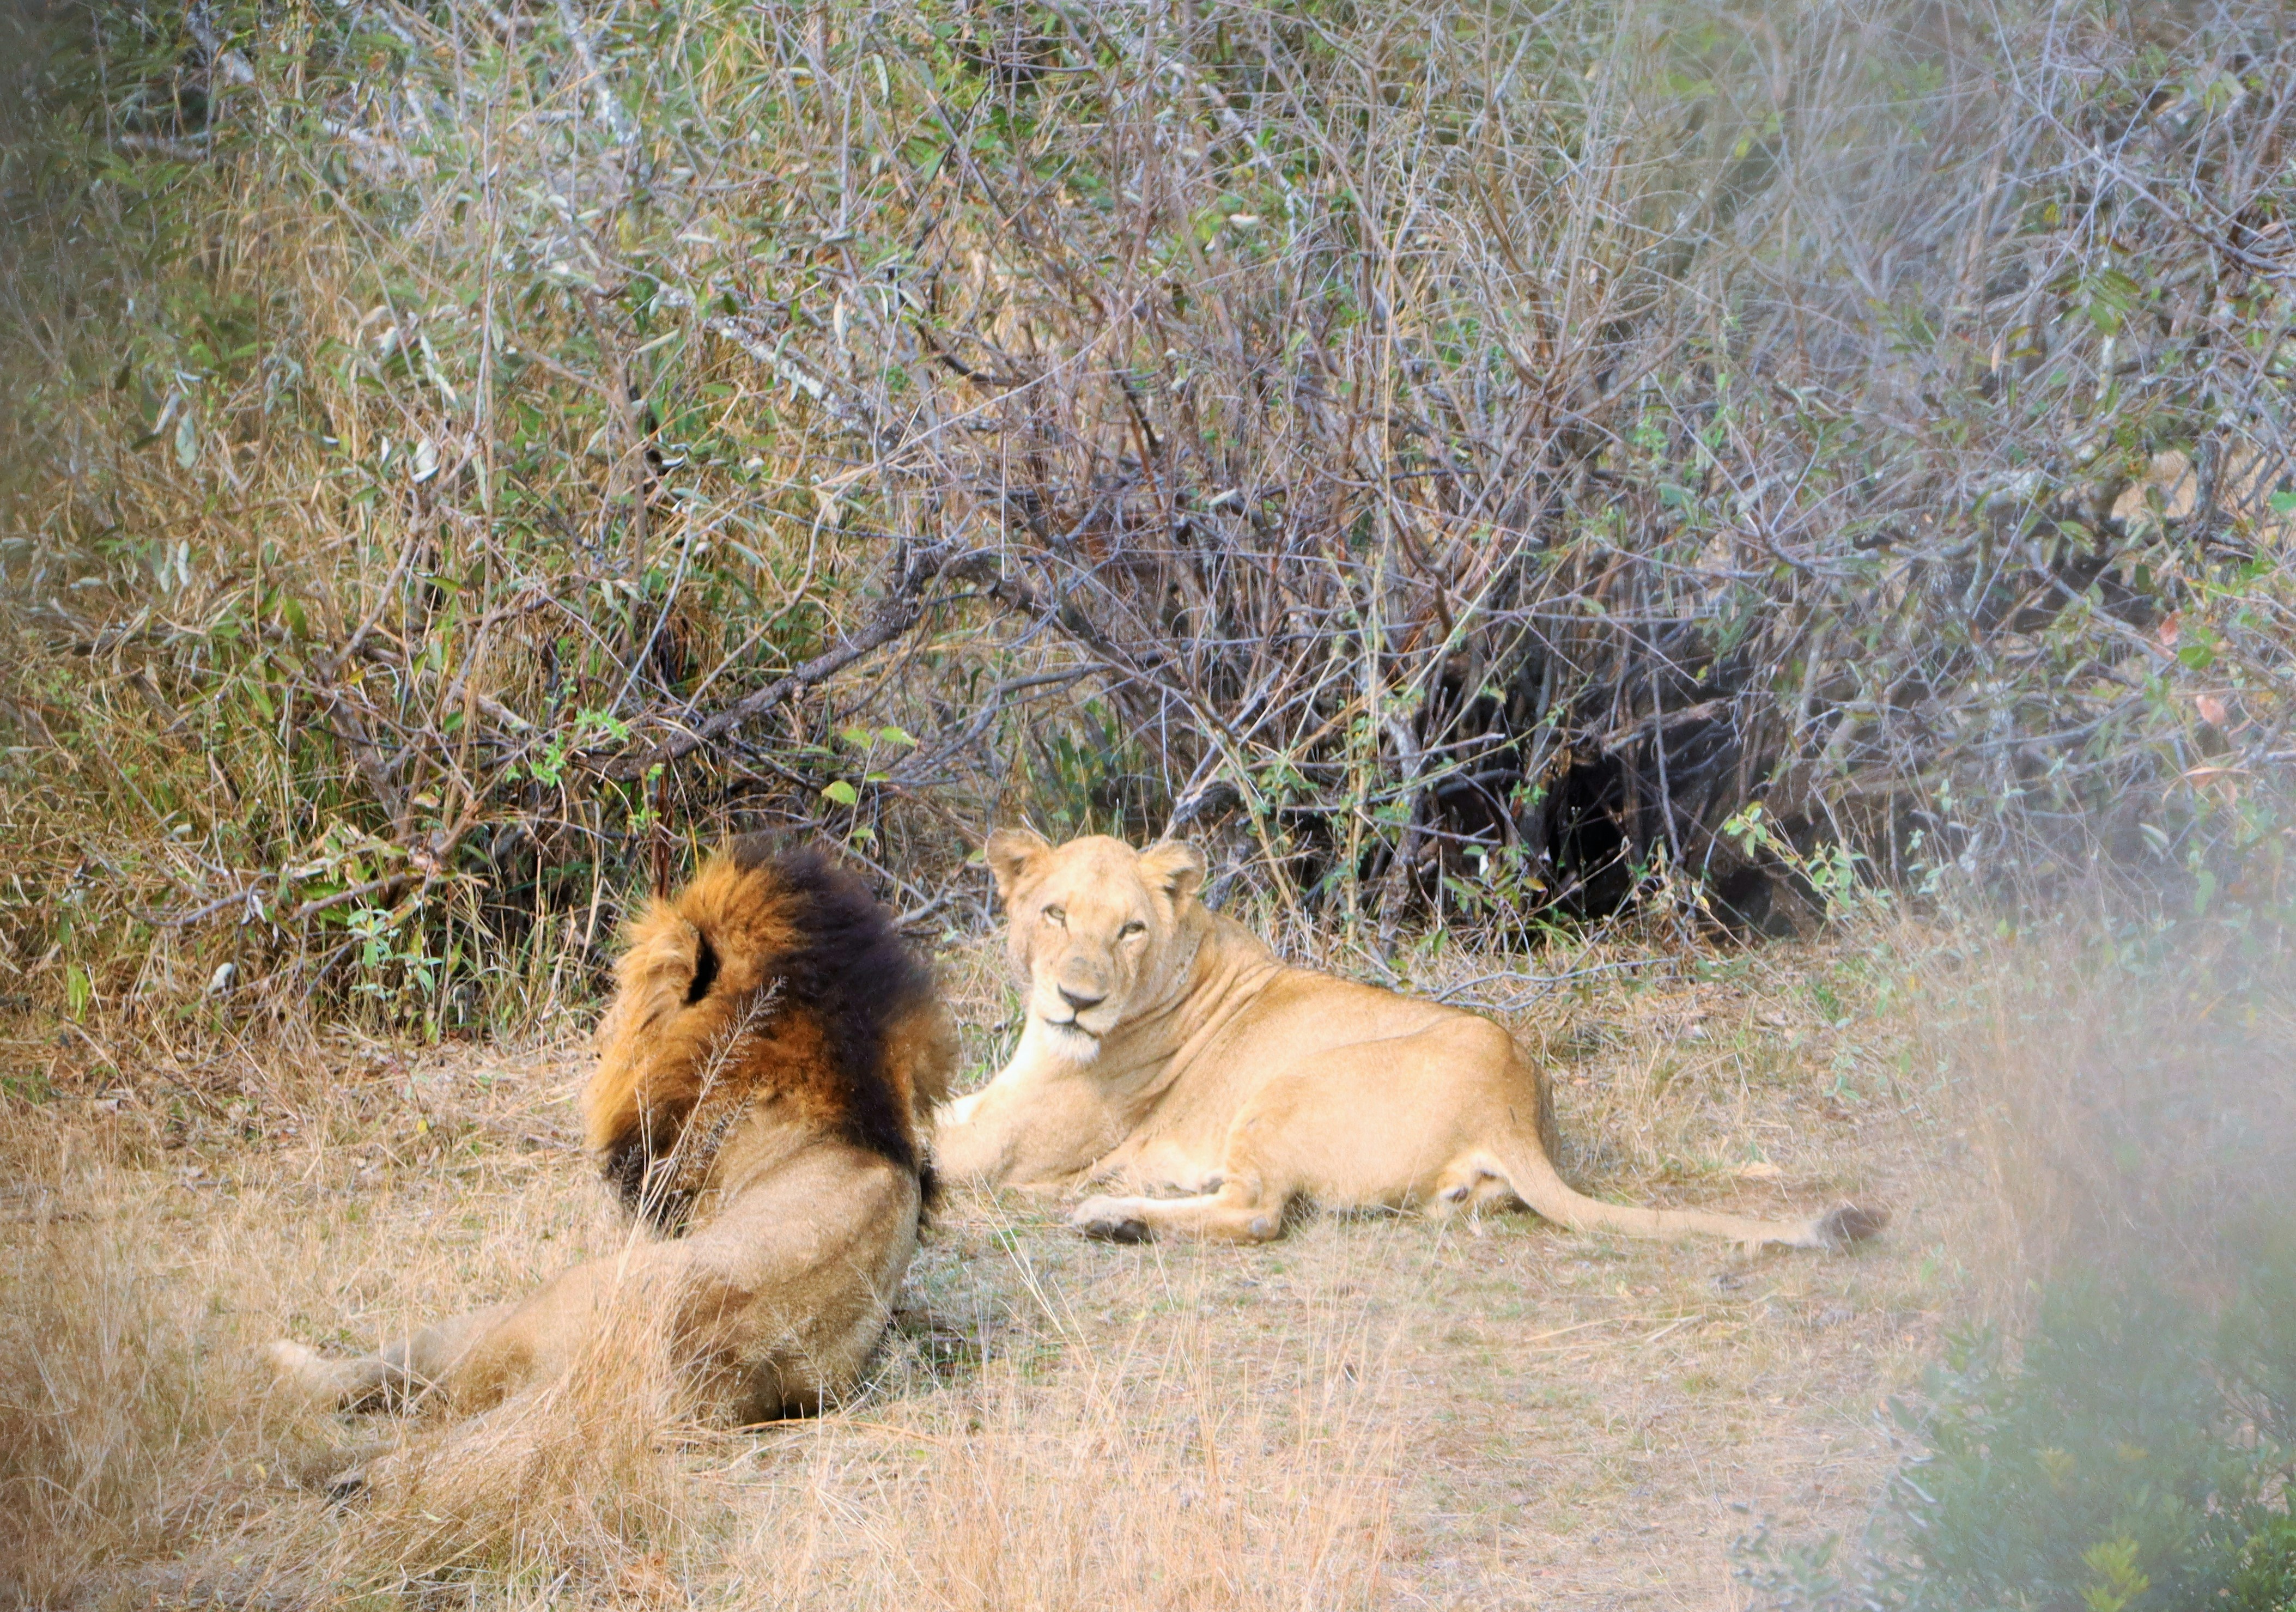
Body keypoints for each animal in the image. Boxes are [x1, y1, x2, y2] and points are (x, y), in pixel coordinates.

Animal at [934, 830, 1885, 1251]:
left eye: (1130, 929)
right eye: (1054, 913)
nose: (1079, 1000)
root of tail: (1513, 1094)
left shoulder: (1004, 1144)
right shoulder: (982, 1104)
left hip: (1285, 1086)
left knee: (1256, 1212)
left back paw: (1112, 1214)